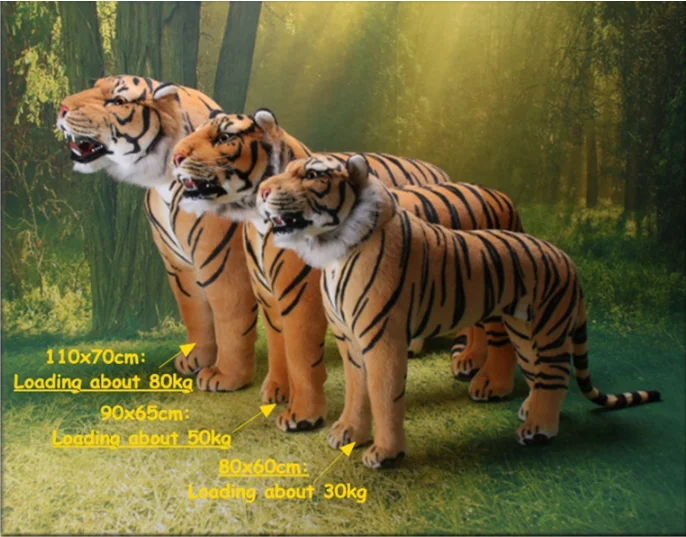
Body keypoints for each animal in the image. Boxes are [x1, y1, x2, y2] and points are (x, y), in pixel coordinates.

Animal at [56, 75, 258, 390]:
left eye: (117, 101)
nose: (61, 108)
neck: (163, 181)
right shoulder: (180, 266)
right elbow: (196, 314)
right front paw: (195, 360)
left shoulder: (223, 264)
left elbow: (230, 319)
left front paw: (226, 377)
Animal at [172, 109, 522, 431]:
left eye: (224, 138)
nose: (175, 157)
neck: (258, 222)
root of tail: (505, 197)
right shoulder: (269, 299)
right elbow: (277, 347)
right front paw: (277, 391)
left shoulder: (301, 302)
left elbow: (299, 356)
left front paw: (301, 415)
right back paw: (468, 361)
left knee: (500, 337)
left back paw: (491, 385)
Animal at [256, 155, 661, 468]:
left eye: (312, 175)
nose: (261, 192)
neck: (333, 248)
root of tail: (570, 261)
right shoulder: (349, 340)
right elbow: (358, 390)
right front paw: (346, 433)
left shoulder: (382, 339)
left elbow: (384, 396)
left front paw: (386, 454)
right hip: (525, 333)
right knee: (540, 376)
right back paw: (529, 411)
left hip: (547, 331)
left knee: (556, 378)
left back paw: (538, 431)